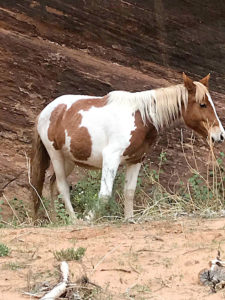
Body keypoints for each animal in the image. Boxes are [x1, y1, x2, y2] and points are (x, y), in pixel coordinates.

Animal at [30, 74, 224, 221]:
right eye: (202, 104)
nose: (220, 135)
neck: (141, 118)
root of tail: (47, 111)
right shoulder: (111, 158)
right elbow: (105, 194)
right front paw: (88, 219)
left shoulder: (136, 160)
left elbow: (129, 192)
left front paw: (129, 219)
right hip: (55, 154)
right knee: (62, 186)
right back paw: (74, 220)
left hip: (69, 159)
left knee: (53, 184)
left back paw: (57, 219)